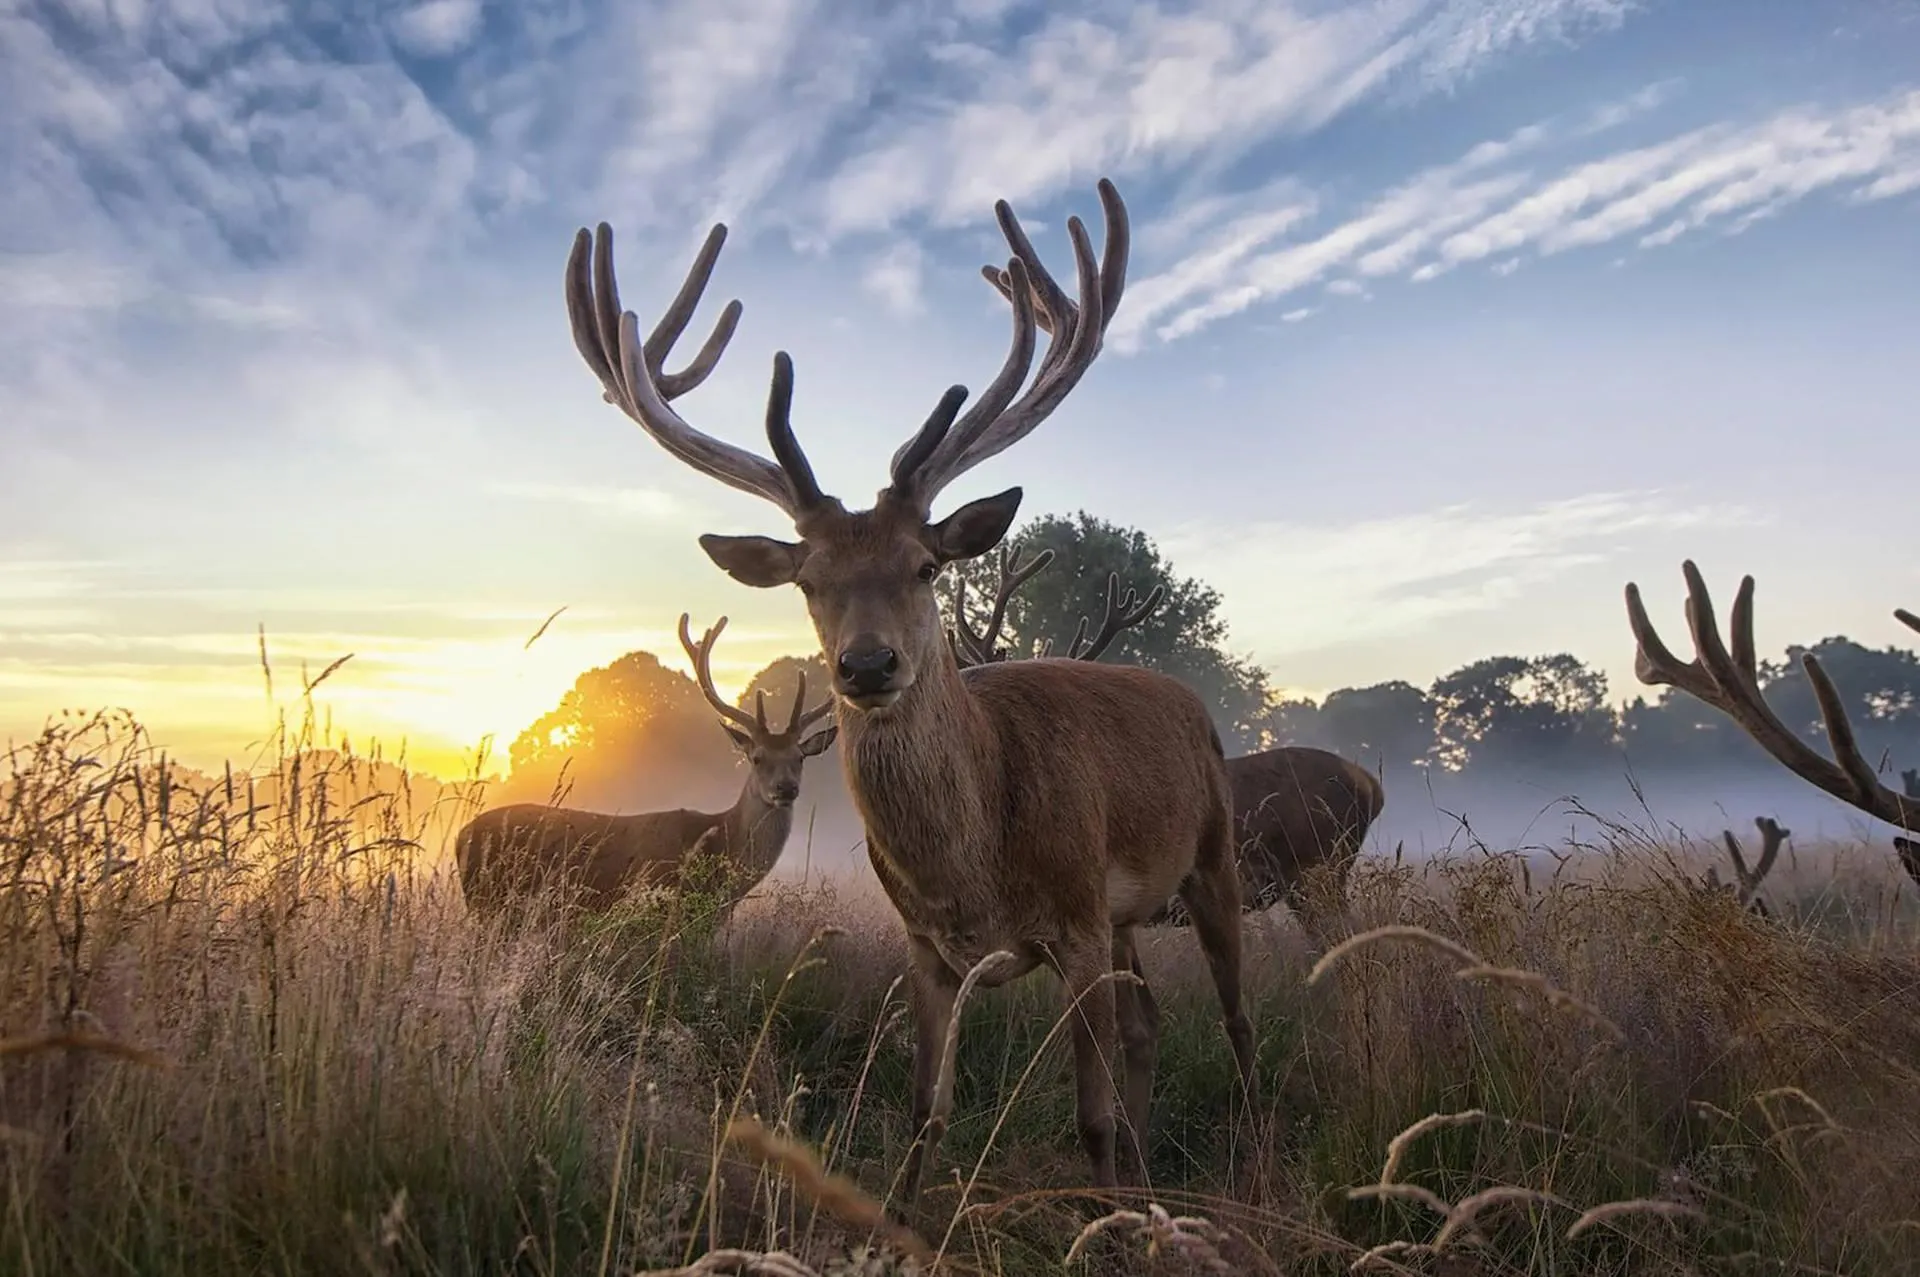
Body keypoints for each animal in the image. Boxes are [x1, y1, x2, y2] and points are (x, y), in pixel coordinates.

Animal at [562, 176, 1258, 1205]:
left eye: (927, 565)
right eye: (809, 580)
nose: (866, 665)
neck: (975, 863)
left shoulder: (1077, 919)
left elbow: (1086, 1117)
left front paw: (1099, 1207)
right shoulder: (928, 946)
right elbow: (926, 1110)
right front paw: (915, 1214)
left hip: (1212, 856)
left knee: (1237, 1023)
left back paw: (1246, 1154)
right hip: (1130, 916)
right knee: (1148, 1025)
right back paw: (1143, 1172)